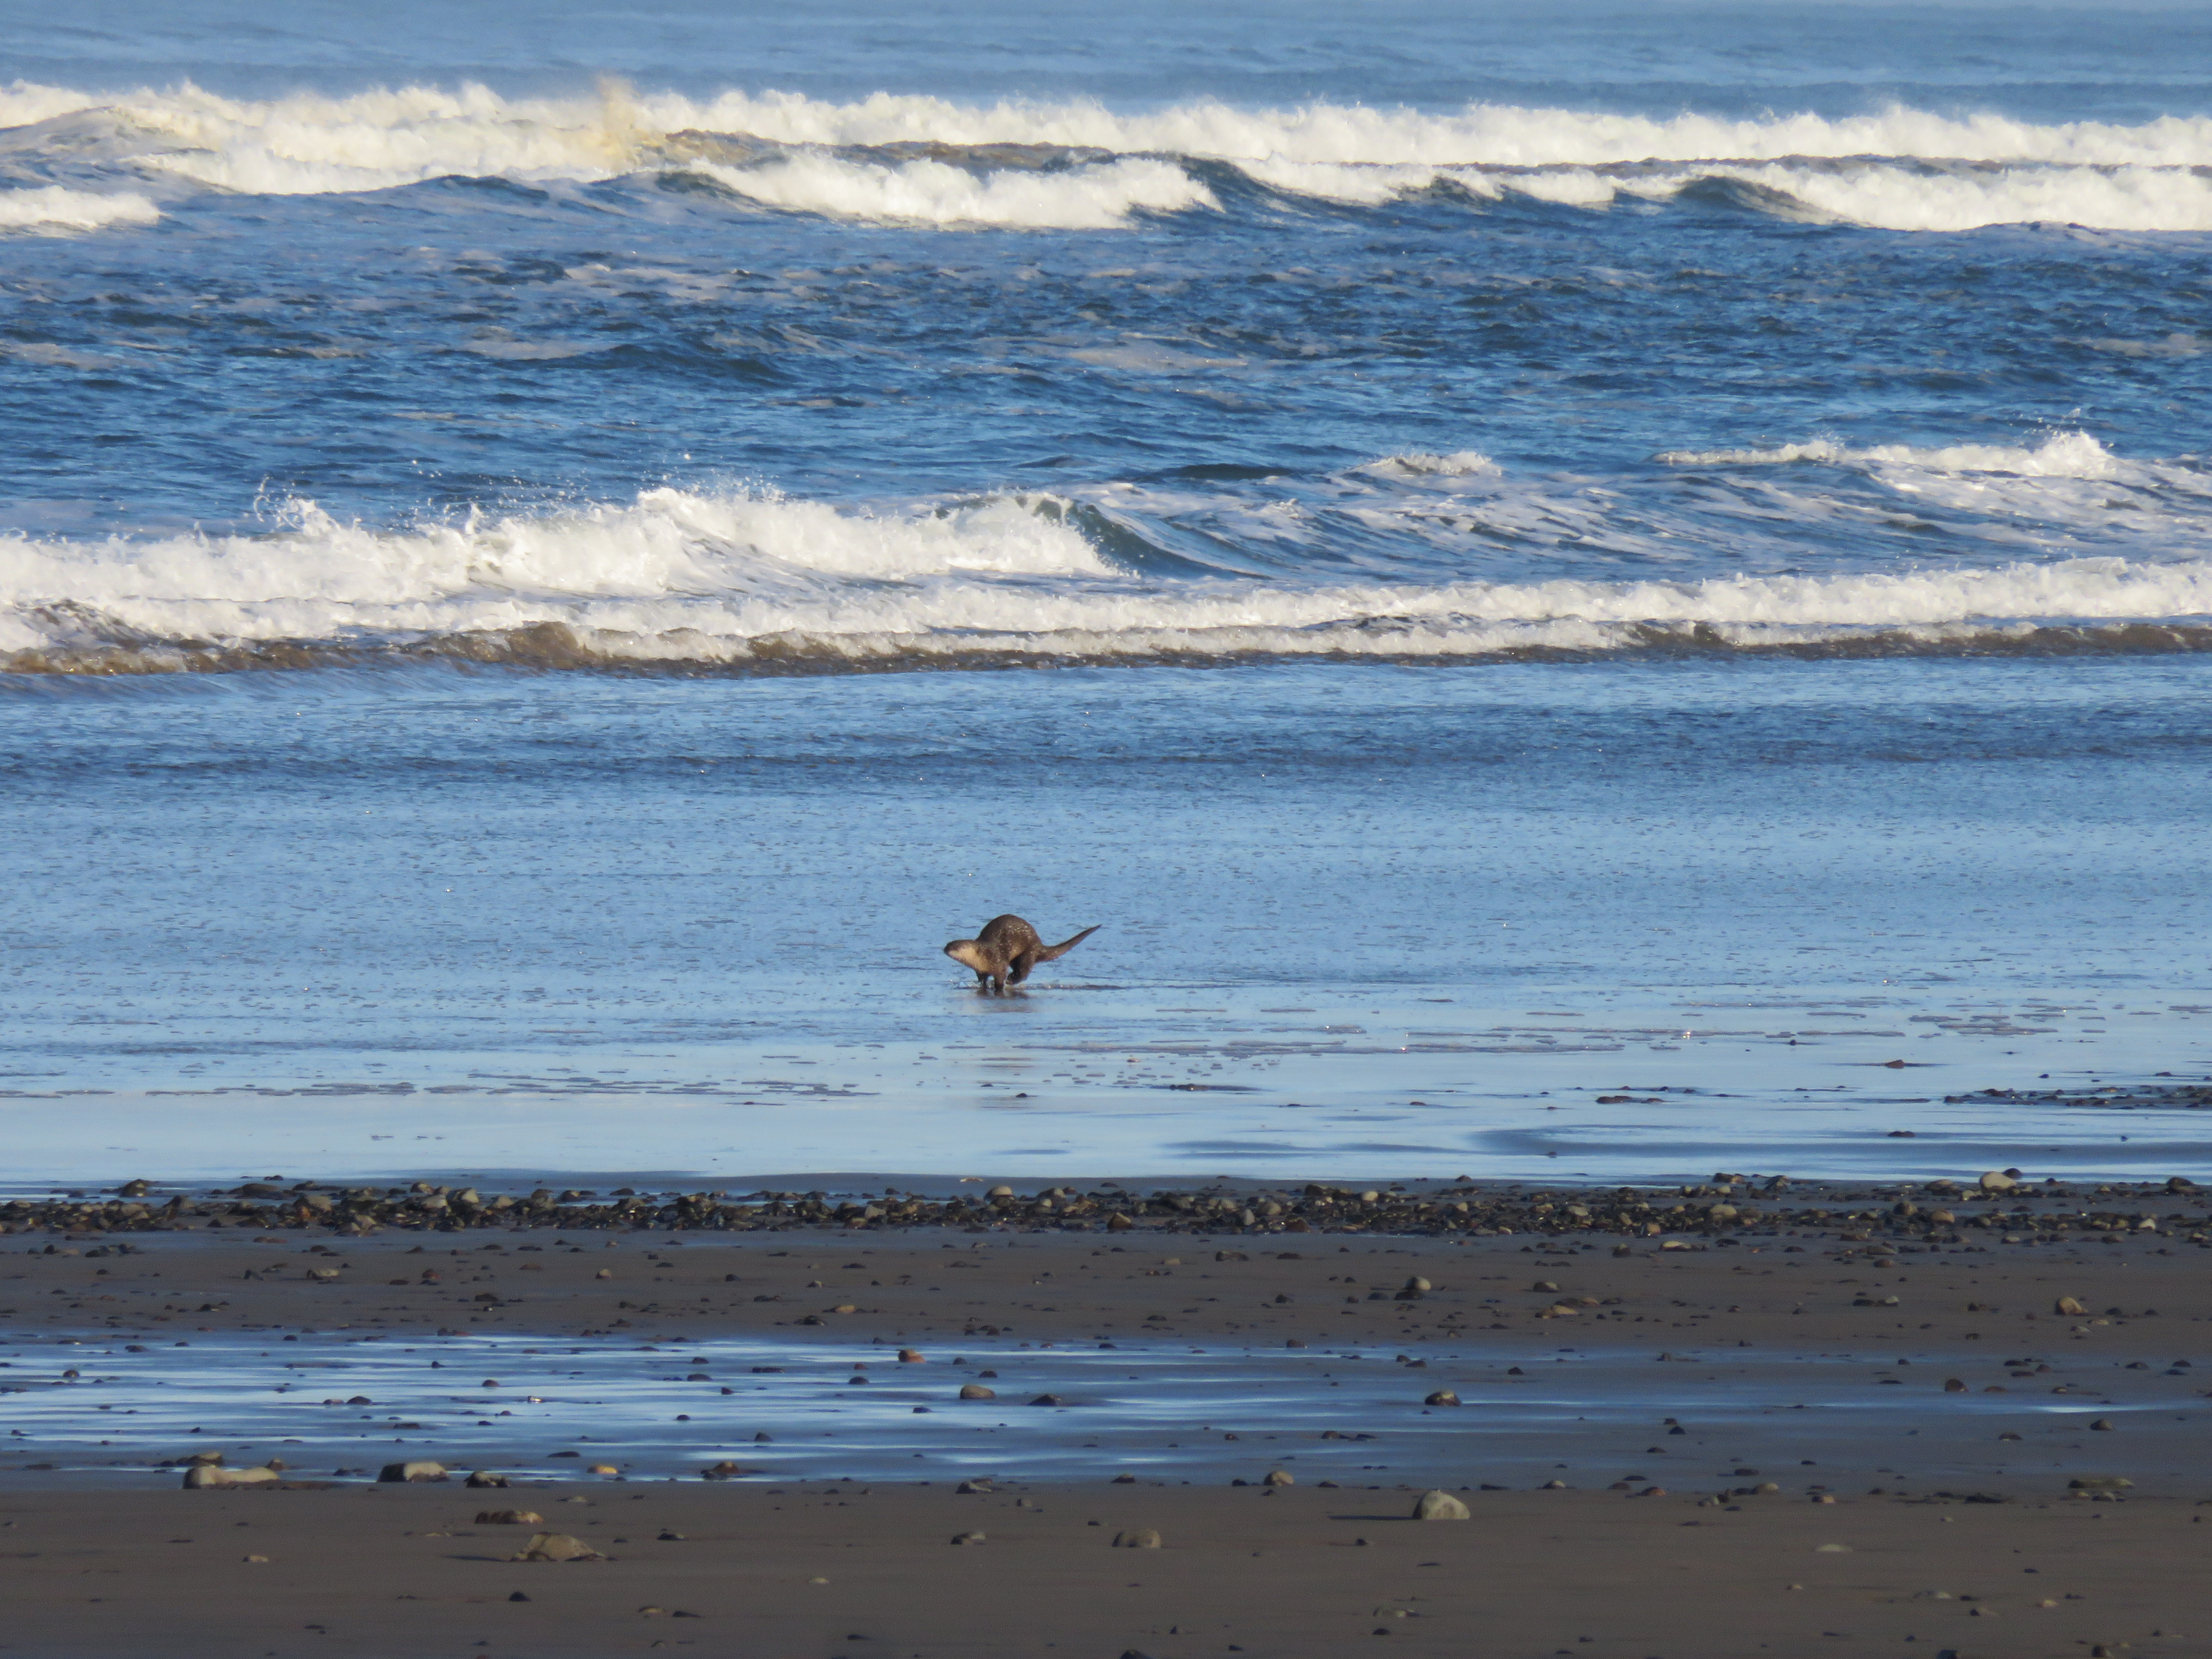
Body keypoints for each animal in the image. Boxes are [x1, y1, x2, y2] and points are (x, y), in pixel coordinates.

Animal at [944, 914, 1099, 993]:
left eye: (956, 947)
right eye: (947, 944)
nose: (945, 950)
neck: (983, 957)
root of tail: (1039, 944)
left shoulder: (998, 961)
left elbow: (1001, 975)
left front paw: (999, 986)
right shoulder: (980, 970)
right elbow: (983, 979)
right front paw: (983, 985)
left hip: (1028, 952)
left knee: (1024, 971)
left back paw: (1012, 980)